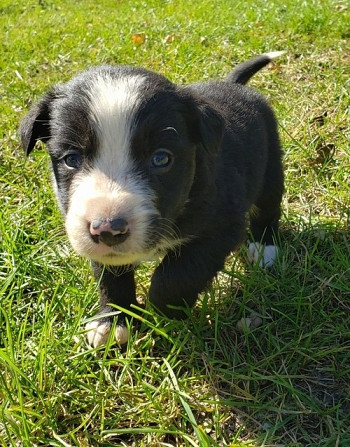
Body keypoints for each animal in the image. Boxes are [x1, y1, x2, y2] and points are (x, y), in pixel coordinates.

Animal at [19, 51, 284, 346]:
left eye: (161, 158)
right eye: (71, 159)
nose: (108, 229)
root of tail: (234, 86)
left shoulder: (222, 225)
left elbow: (178, 275)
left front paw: (164, 312)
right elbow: (110, 276)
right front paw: (113, 320)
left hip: (271, 167)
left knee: (268, 208)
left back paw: (264, 248)